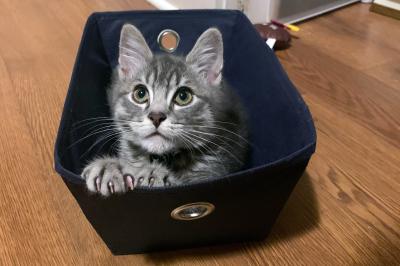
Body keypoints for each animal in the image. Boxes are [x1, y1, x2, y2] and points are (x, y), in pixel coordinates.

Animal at [81, 24, 248, 195]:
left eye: (183, 96)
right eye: (140, 93)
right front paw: (110, 167)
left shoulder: (213, 172)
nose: (156, 116)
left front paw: (150, 174)